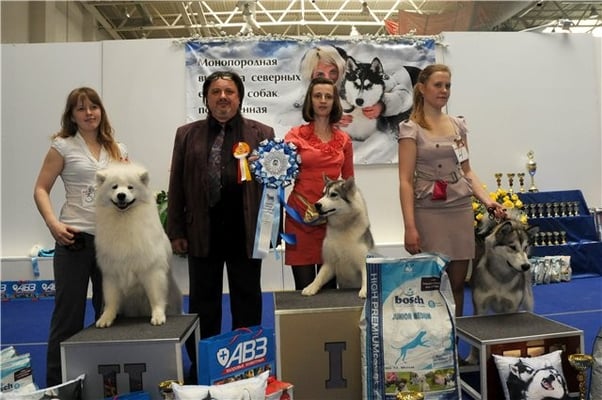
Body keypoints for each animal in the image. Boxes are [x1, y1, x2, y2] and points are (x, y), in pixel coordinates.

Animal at [94, 163, 182, 327]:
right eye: (114, 187)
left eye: (130, 187)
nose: (121, 195)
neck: (124, 219)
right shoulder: (111, 273)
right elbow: (111, 299)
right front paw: (106, 318)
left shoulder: (152, 270)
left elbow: (156, 296)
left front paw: (158, 316)